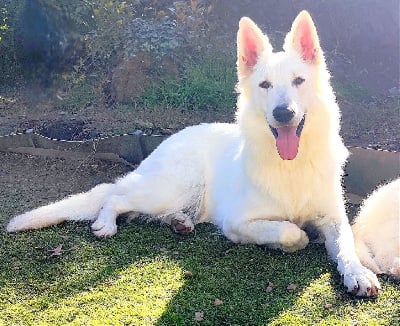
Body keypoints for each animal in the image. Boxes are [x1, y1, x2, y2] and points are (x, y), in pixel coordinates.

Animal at [7, 10, 382, 296]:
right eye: (265, 85)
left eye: (299, 81)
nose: (283, 113)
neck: (291, 166)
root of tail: (172, 138)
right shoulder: (237, 222)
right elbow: (291, 231)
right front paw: (294, 238)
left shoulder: (334, 218)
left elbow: (346, 244)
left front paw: (358, 272)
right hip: (173, 187)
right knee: (115, 196)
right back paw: (106, 223)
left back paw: (179, 222)